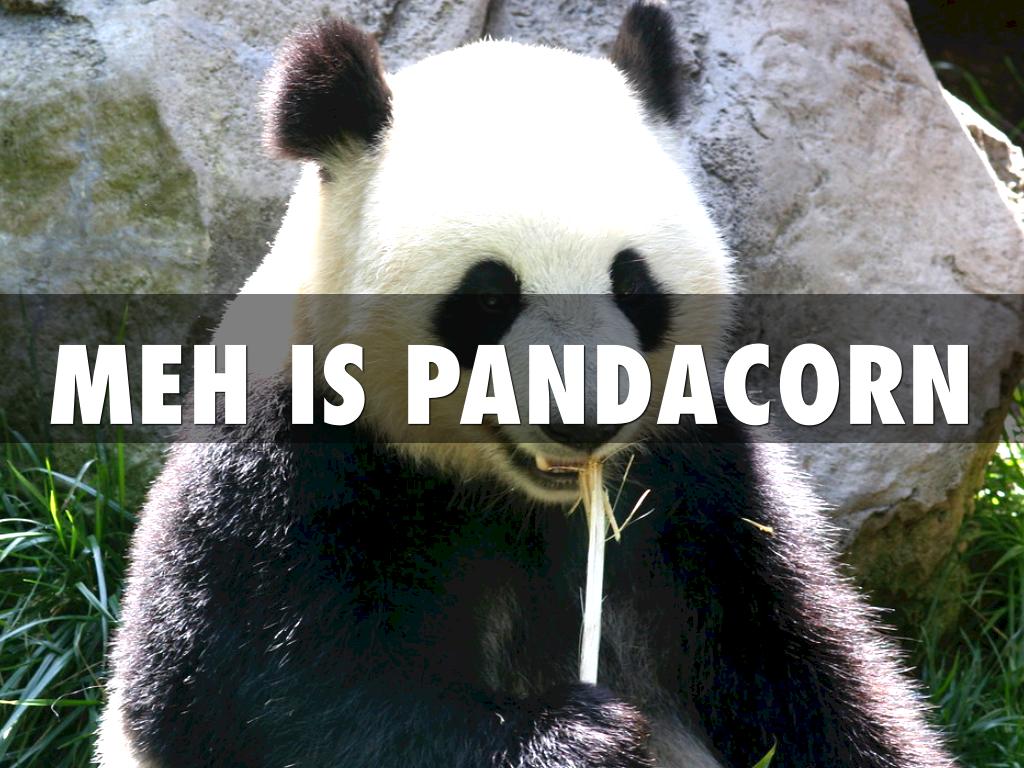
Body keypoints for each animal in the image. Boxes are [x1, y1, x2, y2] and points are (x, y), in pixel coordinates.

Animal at [97, 4, 954, 767]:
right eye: (487, 299)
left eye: (634, 287)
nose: (586, 418)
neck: (515, 497)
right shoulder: (284, 462)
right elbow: (243, 695)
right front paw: (580, 738)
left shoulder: (701, 469)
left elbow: (794, 662)